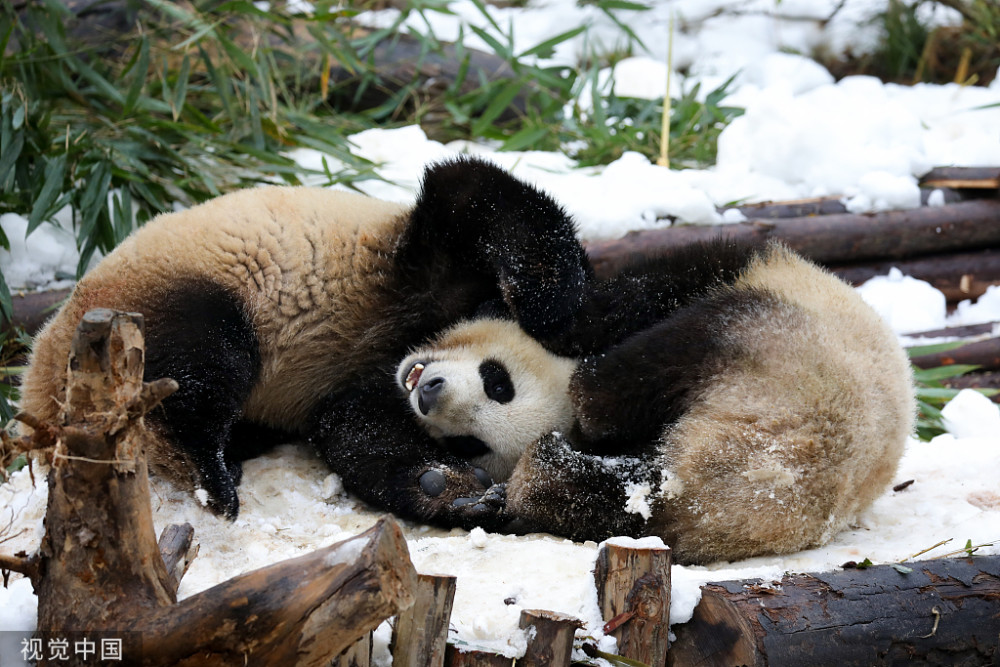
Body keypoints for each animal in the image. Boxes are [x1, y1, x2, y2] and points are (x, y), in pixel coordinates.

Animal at [19, 154, 588, 524]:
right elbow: (474, 195)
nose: (430, 392)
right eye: (497, 381)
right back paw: (210, 474)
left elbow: (355, 434)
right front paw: (555, 305)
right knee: (194, 364)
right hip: (161, 294)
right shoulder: (419, 265)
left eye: (473, 443)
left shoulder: (361, 395)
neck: (400, 350)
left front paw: (451, 489)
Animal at [398, 240, 916, 564]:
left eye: (497, 382)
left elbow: (617, 303)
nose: (429, 391)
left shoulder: (728, 270)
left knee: (616, 384)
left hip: (764, 340)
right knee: (616, 498)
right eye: (468, 444)